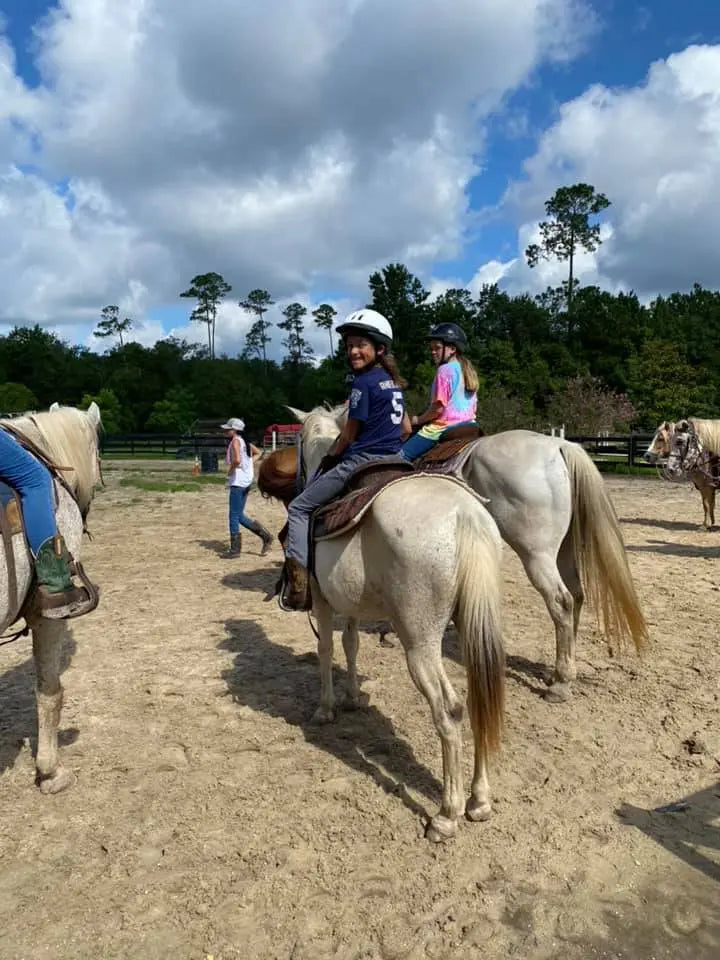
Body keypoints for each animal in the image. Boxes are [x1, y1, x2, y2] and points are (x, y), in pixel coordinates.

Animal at [258, 416, 648, 700]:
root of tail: (559, 444)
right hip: (562, 549)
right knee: (577, 596)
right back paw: (562, 667)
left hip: (536, 553)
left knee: (561, 600)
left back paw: (561, 681)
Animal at [284, 404, 504, 840]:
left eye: (297, 441)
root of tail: (465, 515)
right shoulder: (349, 603)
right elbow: (351, 645)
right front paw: (352, 698)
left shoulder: (323, 601)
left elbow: (325, 649)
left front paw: (326, 708)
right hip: (472, 627)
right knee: (479, 701)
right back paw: (479, 801)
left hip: (420, 644)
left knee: (450, 710)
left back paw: (446, 814)